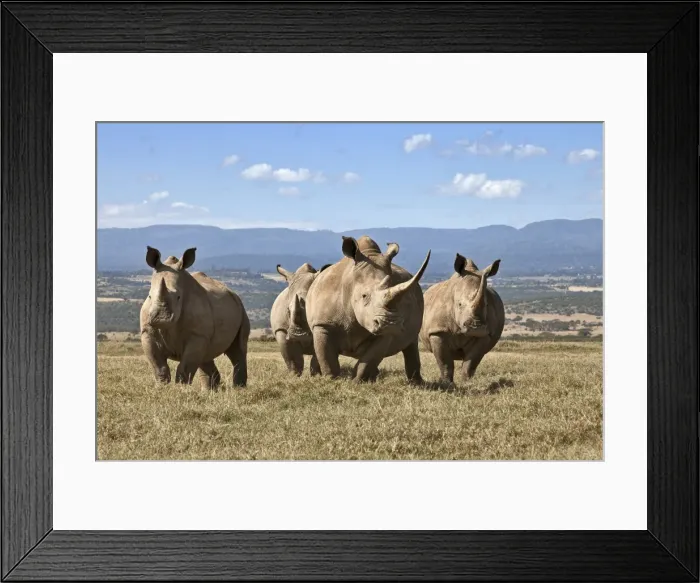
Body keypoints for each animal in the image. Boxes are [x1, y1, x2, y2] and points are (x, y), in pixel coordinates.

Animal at [139, 246, 250, 389]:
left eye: (179, 297)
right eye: (149, 296)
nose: (161, 319)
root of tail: (233, 293)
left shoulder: (197, 335)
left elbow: (185, 367)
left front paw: (181, 389)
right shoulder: (147, 332)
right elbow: (159, 367)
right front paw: (161, 389)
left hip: (241, 309)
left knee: (238, 350)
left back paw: (239, 389)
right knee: (206, 356)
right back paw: (208, 391)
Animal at [305, 235, 431, 384]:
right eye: (364, 296)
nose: (390, 324)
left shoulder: (385, 333)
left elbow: (368, 360)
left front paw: (357, 382)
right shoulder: (322, 324)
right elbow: (327, 358)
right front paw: (331, 380)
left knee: (411, 343)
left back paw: (416, 384)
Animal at [419, 253, 505, 384]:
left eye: (486, 305)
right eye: (459, 304)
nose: (476, 329)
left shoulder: (485, 335)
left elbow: (470, 363)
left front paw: (467, 382)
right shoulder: (437, 331)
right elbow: (445, 363)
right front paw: (446, 383)